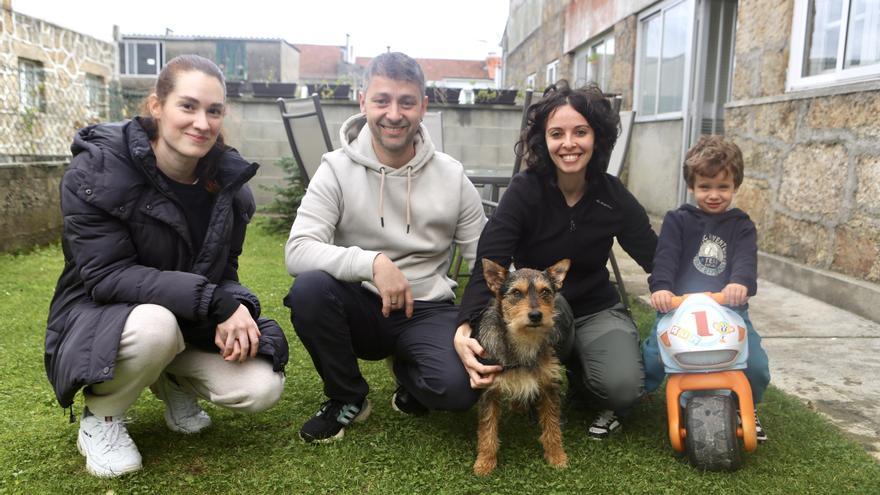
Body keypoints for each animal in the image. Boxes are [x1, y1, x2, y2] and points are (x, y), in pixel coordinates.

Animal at [474, 258, 572, 478]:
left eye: (546, 292)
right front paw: (485, 462)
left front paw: (557, 457)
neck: (525, 341)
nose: (536, 315)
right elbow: (487, 431)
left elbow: (552, 427)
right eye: (516, 293)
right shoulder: (489, 390)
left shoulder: (549, 386)